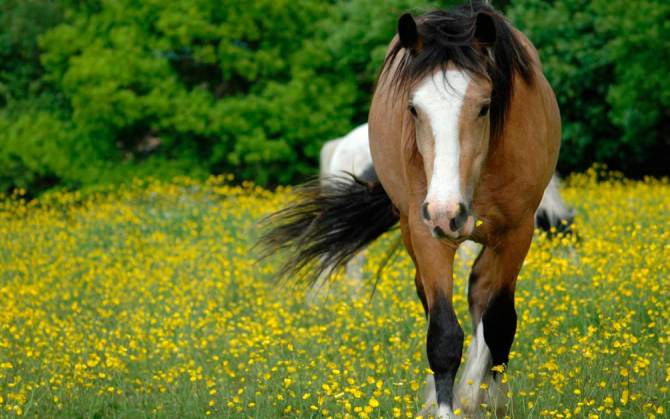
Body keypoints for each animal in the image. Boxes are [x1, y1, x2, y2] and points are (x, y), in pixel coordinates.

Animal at [262, 2, 560, 416]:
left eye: (485, 107)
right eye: (414, 108)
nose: (447, 211)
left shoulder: (516, 233)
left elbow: (499, 323)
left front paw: (492, 402)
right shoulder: (428, 233)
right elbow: (443, 336)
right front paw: (446, 404)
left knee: (481, 297)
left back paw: (474, 392)